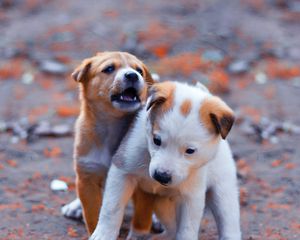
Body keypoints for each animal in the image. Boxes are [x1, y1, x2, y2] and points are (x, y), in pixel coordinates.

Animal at [61, 51, 155, 235]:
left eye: (139, 70)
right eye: (109, 68)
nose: (133, 75)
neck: (111, 128)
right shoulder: (87, 176)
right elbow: (93, 215)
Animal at [89, 81, 241, 240]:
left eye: (190, 151)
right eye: (156, 140)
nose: (161, 176)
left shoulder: (191, 197)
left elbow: (187, 229)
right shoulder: (122, 172)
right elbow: (112, 208)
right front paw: (103, 234)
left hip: (223, 192)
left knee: (229, 221)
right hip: (162, 206)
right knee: (172, 228)